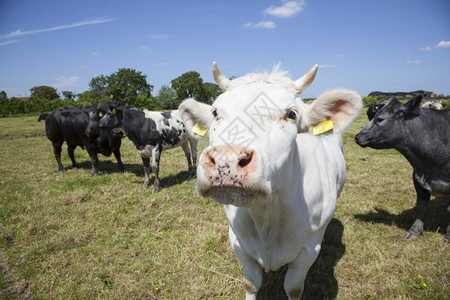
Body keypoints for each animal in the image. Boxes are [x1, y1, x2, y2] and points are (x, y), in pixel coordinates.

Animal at [179, 62, 362, 298]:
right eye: (215, 112)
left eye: (291, 114)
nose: (226, 160)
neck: (266, 216)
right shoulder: (238, 242)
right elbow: (250, 283)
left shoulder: (307, 252)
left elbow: (293, 288)